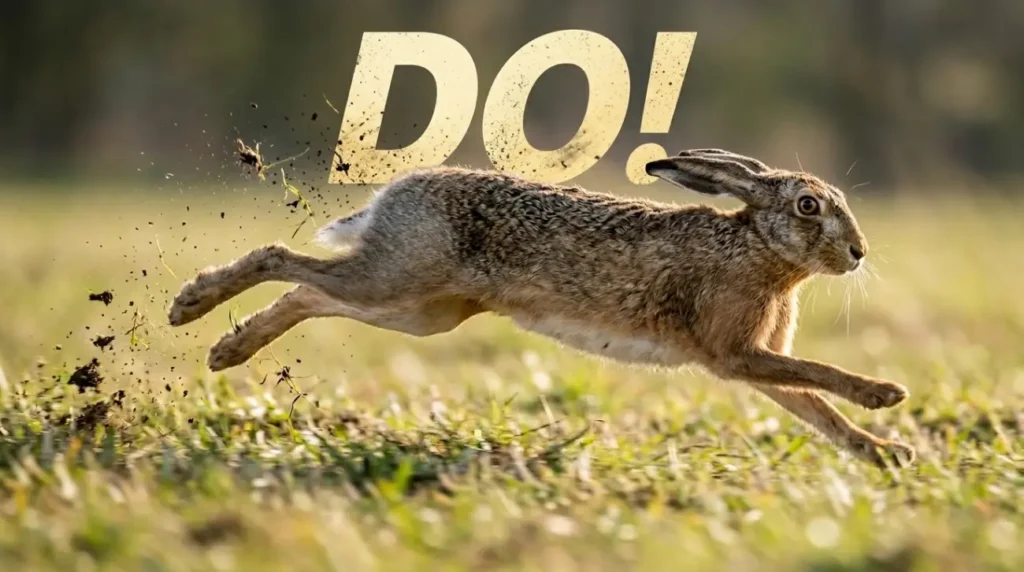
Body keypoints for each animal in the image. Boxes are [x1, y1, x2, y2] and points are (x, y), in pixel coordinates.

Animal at [167, 148, 915, 467]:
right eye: (808, 206)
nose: (858, 253)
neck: (758, 248)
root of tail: (394, 194)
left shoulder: (753, 361)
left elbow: (815, 408)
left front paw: (886, 453)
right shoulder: (736, 353)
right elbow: (822, 377)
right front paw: (886, 395)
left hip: (421, 309)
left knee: (309, 292)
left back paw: (226, 350)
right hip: (397, 281)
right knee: (282, 260)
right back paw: (191, 308)